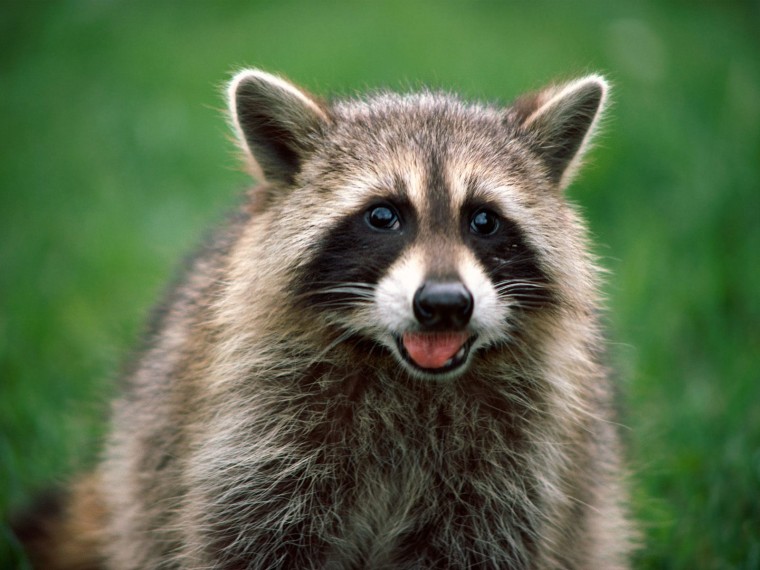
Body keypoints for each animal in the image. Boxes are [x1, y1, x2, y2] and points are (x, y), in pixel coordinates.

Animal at [17, 70, 633, 569]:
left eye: (483, 220)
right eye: (383, 216)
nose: (443, 304)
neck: (405, 375)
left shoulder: (513, 469)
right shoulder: (256, 439)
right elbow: (246, 539)